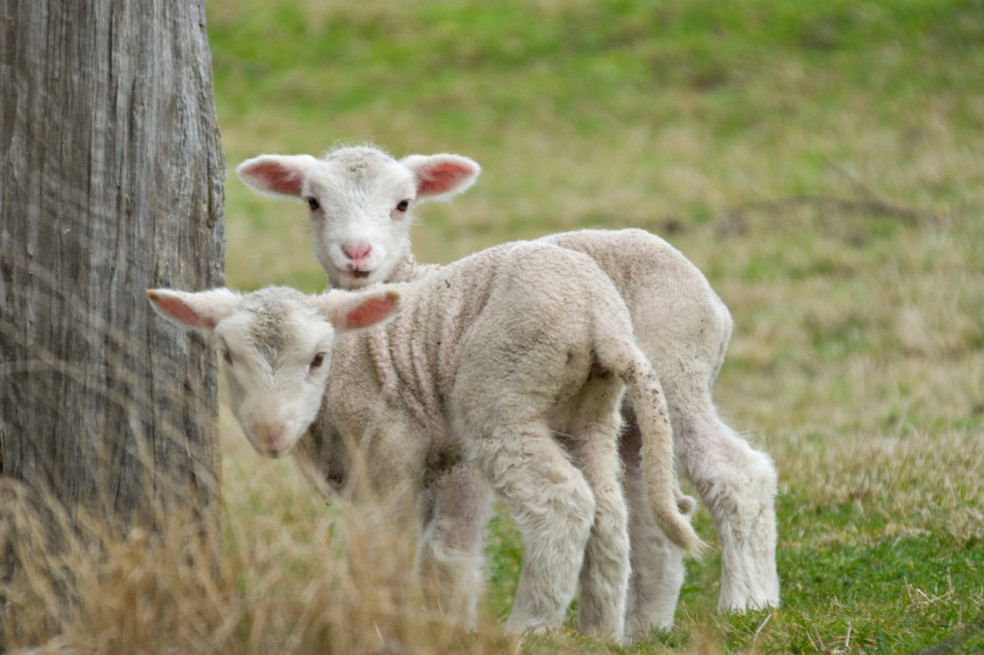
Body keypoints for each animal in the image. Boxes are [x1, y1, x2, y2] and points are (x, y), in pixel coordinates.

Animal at [148, 240, 700, 640]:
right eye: (226, 356)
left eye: (318, 359)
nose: (269, 433)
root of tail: (600, 320)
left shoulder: (389, 457)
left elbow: (383, 547)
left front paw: (375, 623)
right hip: (591, 411)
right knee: (608, 510)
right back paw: (597, 633)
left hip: (503, 396)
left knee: (563, 503)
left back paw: (529, 630)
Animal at [234, 145, 780, 632]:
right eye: (313, 202)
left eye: (403, 203)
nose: (357, 253)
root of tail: (707, 292)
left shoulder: (455, 460)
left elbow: (447, 545)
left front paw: (447, 623)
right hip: (627, 418)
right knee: (646, 513)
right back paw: (643, 626)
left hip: (676, 373)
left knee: (736, 473)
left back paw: (746, 604)